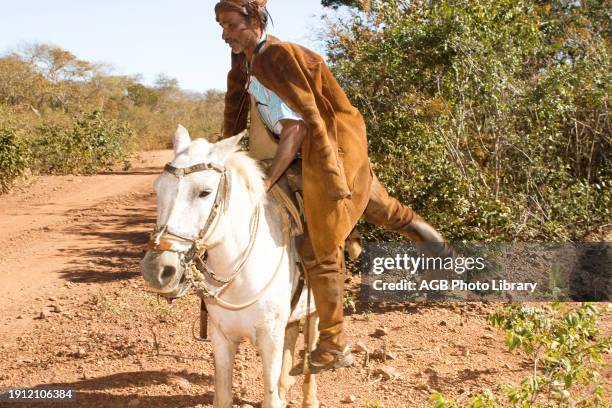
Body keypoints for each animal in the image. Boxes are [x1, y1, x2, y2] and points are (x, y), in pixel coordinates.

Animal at [140, 126, 318, 408]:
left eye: (205, 192)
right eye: (158, 188)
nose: (156, 270)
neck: (241, 278)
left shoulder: (270, 340)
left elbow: (270, 398)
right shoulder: (221, 338)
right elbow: (224, 394)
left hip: (316, 313)